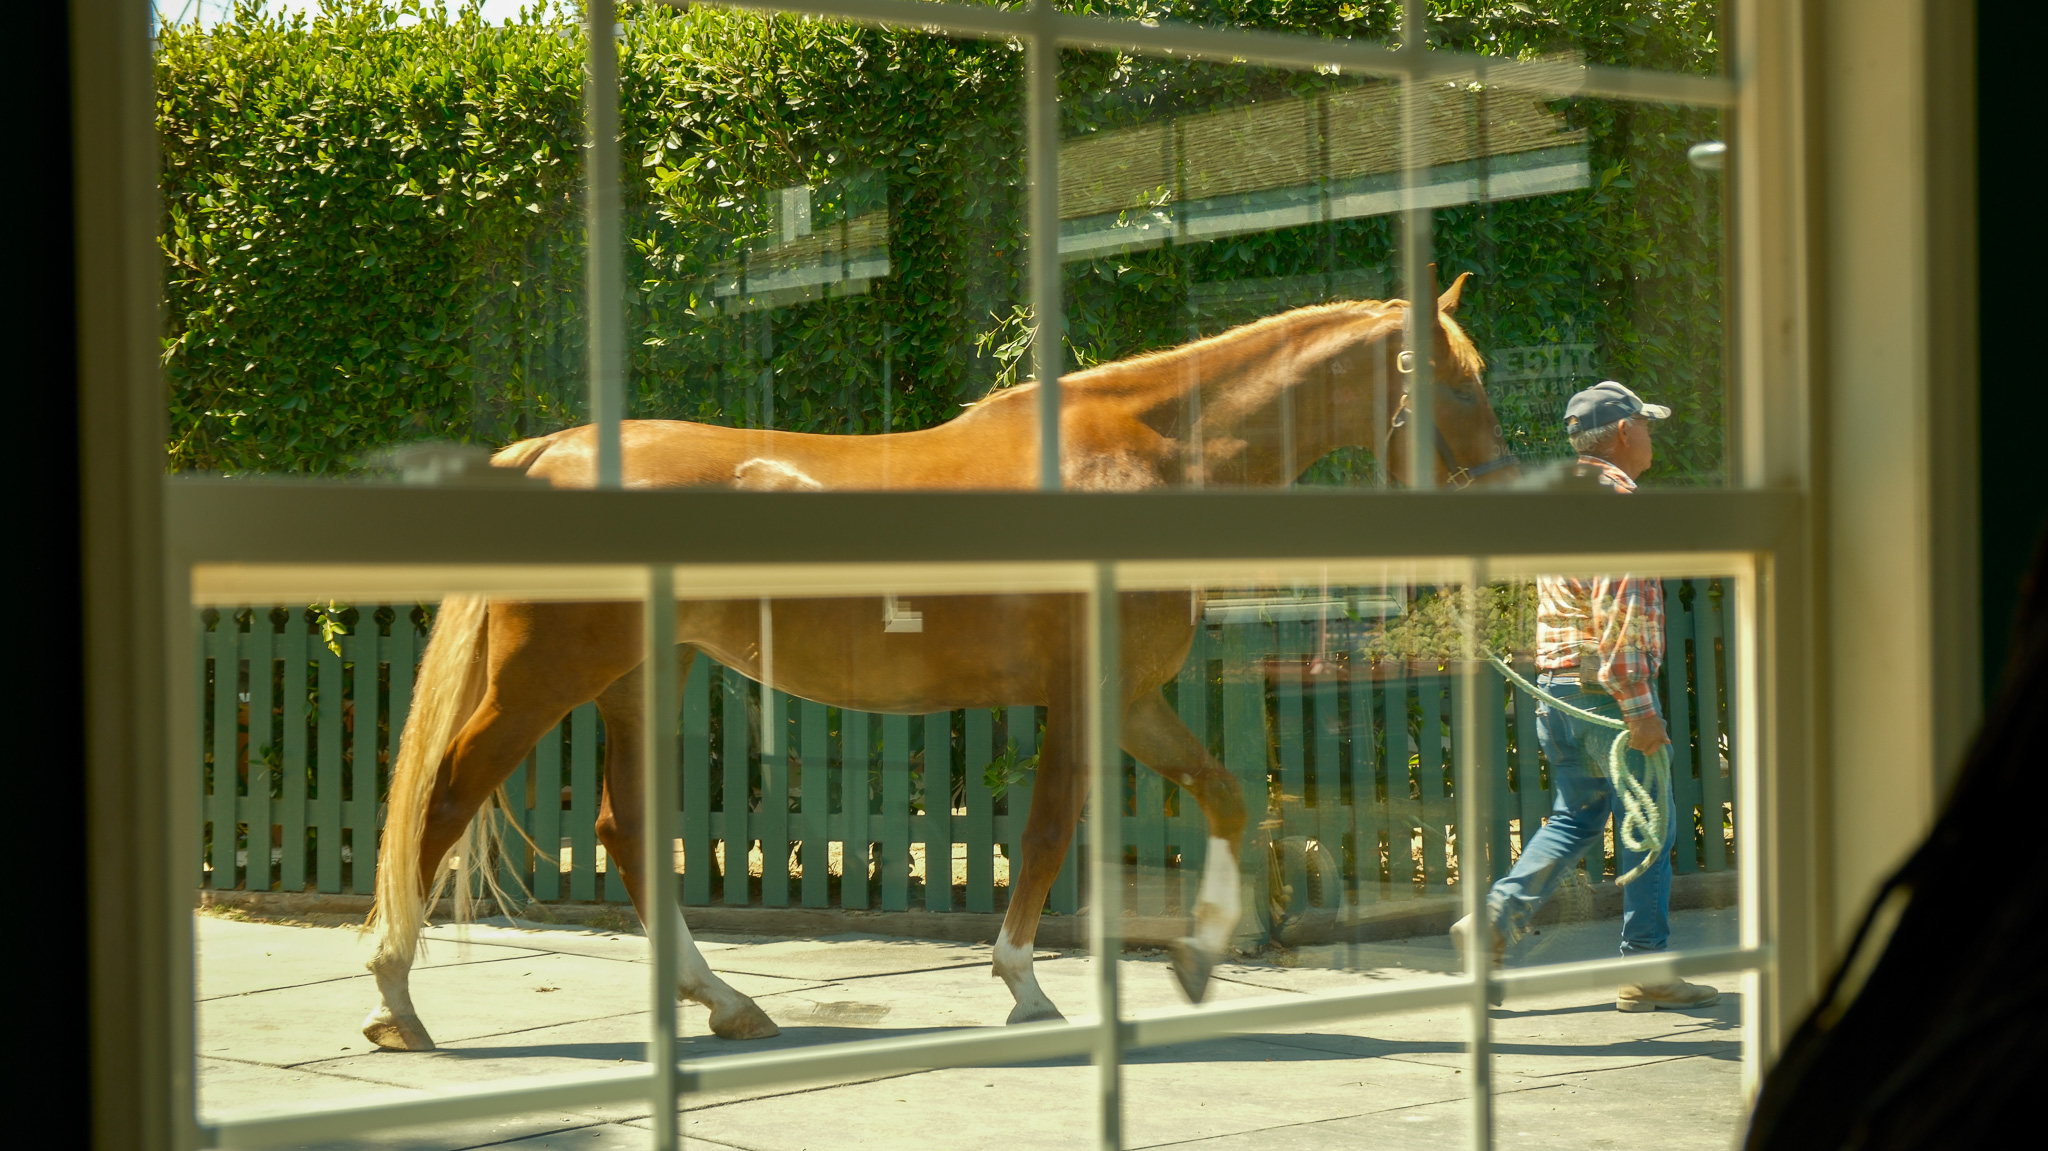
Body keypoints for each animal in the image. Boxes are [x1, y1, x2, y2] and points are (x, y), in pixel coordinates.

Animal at [360, 271, 1518, 1050]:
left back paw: (726, 1003)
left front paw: (1198, 953)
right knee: (446, 796)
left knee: (627, 829)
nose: (1505, 495)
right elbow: (1047, 835)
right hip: (543, 678)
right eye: (1459, 385)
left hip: (642, 678)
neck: (1149, 454)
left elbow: (1226, 795)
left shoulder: (1133, 698)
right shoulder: (1085, 699)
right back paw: (396, 996)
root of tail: (548, 452)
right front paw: (1025, 985)